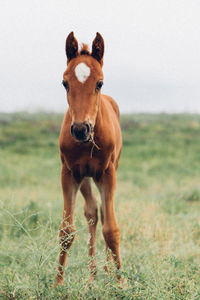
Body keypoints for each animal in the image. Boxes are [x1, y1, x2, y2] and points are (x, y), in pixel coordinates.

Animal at [55, 31, 122, 284]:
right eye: (65, 83)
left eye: (99, 83)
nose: (80, 129)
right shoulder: (69, 173)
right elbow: (66, 230)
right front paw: (57, 283)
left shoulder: (107, 173)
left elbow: (111, 229)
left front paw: (121, 281)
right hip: (84, 176)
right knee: (92, 212)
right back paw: (92, 273)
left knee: (102, 212)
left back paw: (105, 270)